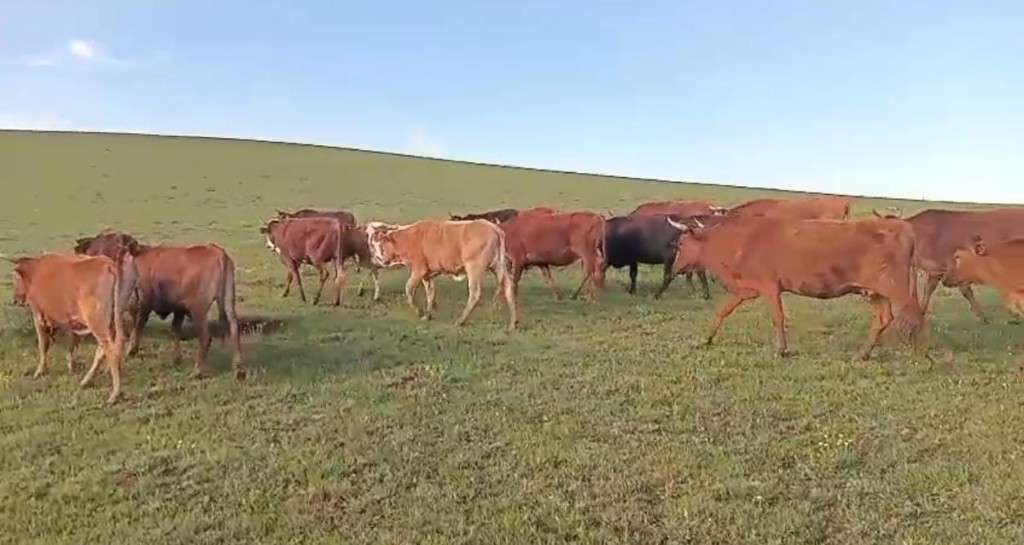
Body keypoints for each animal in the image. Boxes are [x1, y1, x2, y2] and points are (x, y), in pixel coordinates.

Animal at [7, 250, 135, 404]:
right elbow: (70, 344)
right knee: (103, 350)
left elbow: (43, 345)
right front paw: (71, 366)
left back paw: (114, 394)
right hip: (114, 321)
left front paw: (40, 371)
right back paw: (86, 381)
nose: (15, 299)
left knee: (111, 351)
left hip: (98, 323)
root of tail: (109, 264)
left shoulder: (38, 315)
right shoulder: (68, 321)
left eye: (15, 277)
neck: (36, 271)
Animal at [72, 231, 245, 380]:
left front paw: (131, 350)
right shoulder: (178, 308)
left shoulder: (144, 301)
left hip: (199, 309)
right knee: (234, 329)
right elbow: (175, 330)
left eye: (120, 257)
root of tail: (218, 252)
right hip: (228, 302)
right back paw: (238, 369)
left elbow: (138, 326)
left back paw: (197, 371)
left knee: (205, 337)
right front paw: (176, 359)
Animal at [365, 219, 519, 329]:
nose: (380, 260)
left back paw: (460, 321)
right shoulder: (426, 275)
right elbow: (430, 293)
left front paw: (419, 311)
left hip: (474, 268)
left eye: (381, 245)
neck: (409, 238)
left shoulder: (419, 270)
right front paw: (427, 314)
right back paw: (513, 323)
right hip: (498, 266)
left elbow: (408, 288)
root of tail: (494, 228)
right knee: (508, 288)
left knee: (475, 293)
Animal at [670, 216, 927, 359]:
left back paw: (920, 353)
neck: (739, 242)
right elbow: (722, 311)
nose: (675, 268)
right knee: (884, 318)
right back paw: (863, 354)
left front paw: (781, 350)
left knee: (916, 312)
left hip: (895, 286)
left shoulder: (769, 286)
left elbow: (778, 317)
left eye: (681, 243)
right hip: (874, 291)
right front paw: (706, 339)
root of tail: (902, 227)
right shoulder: (746, 289)